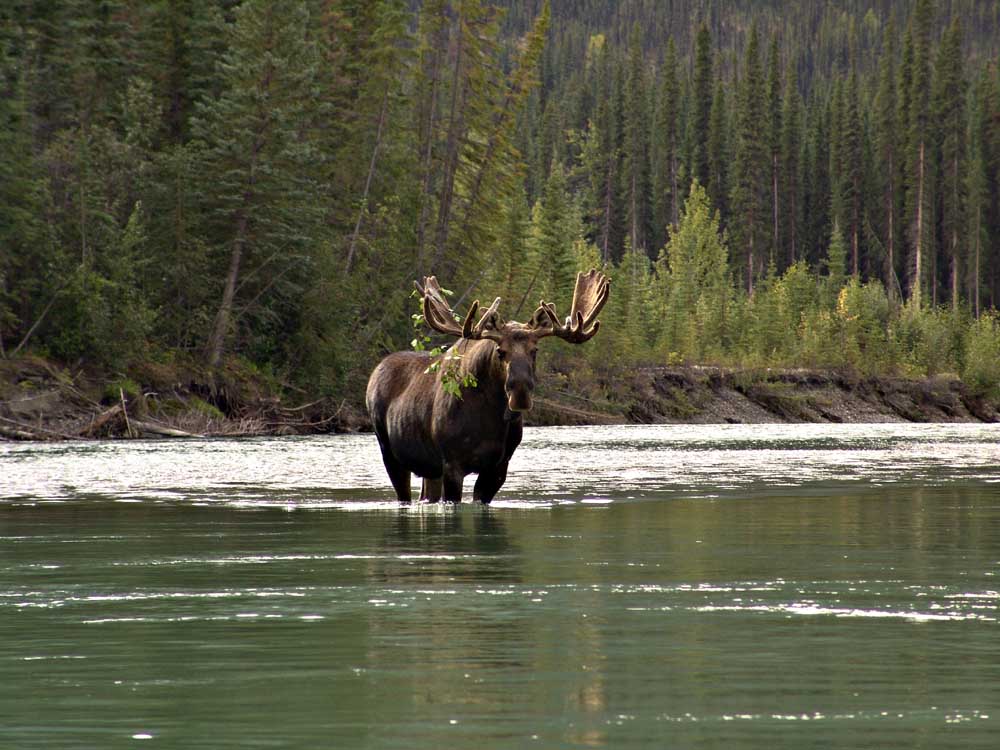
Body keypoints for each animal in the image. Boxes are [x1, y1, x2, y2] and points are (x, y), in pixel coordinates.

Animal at [368, 270, 608, 506]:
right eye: (500, 351)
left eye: (535, 350)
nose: (520, 394)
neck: (490, 421)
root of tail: (375, 371)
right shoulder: (452, 464)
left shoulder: (499, 466)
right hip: (389, 453)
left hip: (429, 468)